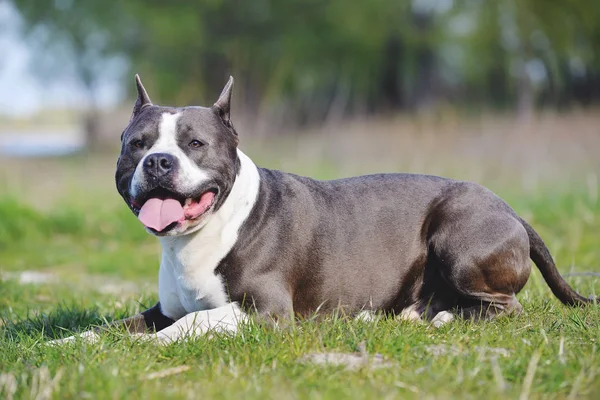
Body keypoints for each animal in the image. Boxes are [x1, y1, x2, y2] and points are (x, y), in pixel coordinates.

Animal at [52, 75, 596, 344]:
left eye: (195, 144)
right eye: (136, 144)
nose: (158, 161)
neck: (204, 233)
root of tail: (510, 210)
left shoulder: (265, 313)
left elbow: (192, 324)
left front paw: (147, 346)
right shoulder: (161, 308)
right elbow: (113, 326)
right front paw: (72, 342)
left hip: (458, 235)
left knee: (505, 308)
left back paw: (444, 320)